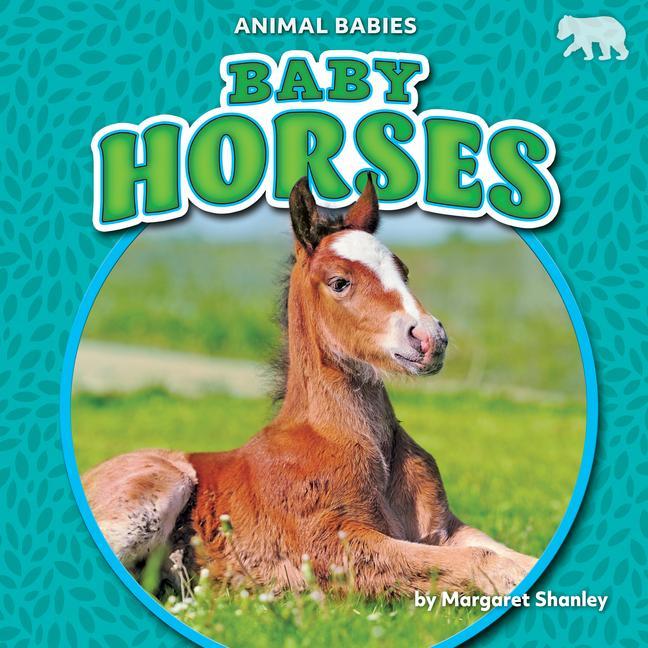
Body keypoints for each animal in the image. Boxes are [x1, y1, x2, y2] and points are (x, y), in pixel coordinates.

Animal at [82, 174, 537, 597]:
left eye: (403, 272)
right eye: (339, 282)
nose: (429, 339)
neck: (354, 441)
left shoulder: (444, 528)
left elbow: (504, 554)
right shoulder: (333, 547)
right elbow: (480, 561)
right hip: (157, 488)